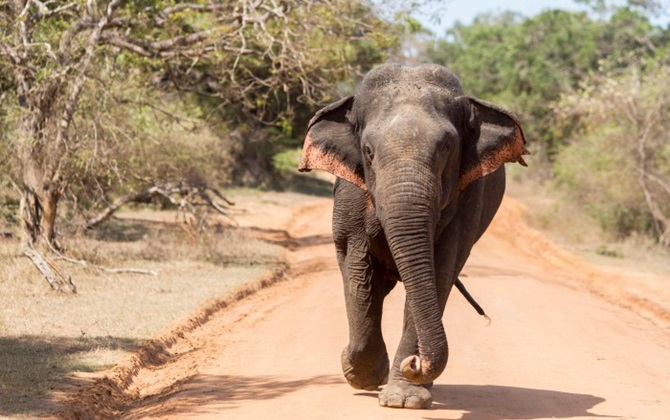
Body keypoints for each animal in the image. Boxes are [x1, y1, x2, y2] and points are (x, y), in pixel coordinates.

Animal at [300, 64, 532, 408]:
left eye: (447, 148)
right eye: (368, 151)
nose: (416, 363)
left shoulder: (467, 199)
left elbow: (439, 270)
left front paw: (403, 398)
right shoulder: (350, 194)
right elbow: (358, 268)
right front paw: (362, 375)